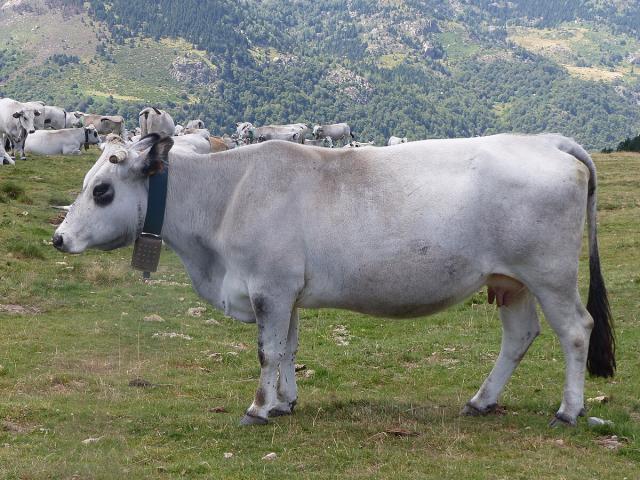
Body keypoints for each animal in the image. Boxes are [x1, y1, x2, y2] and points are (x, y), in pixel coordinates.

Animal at [55, 132, 616, 428]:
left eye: (102, 190)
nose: (59, 238)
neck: (226, 195)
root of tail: (546, 139)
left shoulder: (270, 288)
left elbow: (266, 351)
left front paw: (258, 408)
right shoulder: (285, 293)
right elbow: (287, 349)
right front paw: (284, 402)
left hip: (549, 274)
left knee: (576, 330)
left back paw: (569, 409)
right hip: (510, 280)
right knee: (520, 336)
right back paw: (482, 400)